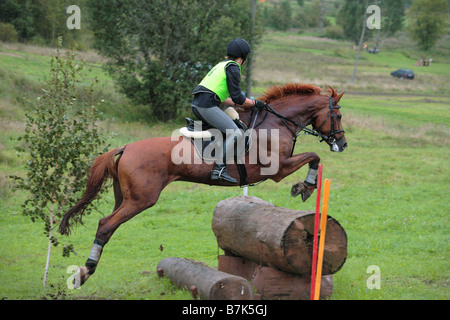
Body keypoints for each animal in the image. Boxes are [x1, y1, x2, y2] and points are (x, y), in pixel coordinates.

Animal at [59, 82, 348, 288]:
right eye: (339, 116)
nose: (342, 144)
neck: (276, 124)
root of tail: (126, 147)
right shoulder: (278, 169)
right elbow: (314, 156)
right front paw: (305, 186)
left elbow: (313, 156)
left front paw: (305, 186)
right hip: (141, 199)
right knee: (106, 225)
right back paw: (86, 270)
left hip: (125, 197)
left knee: (108, 223)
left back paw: (85, 269)